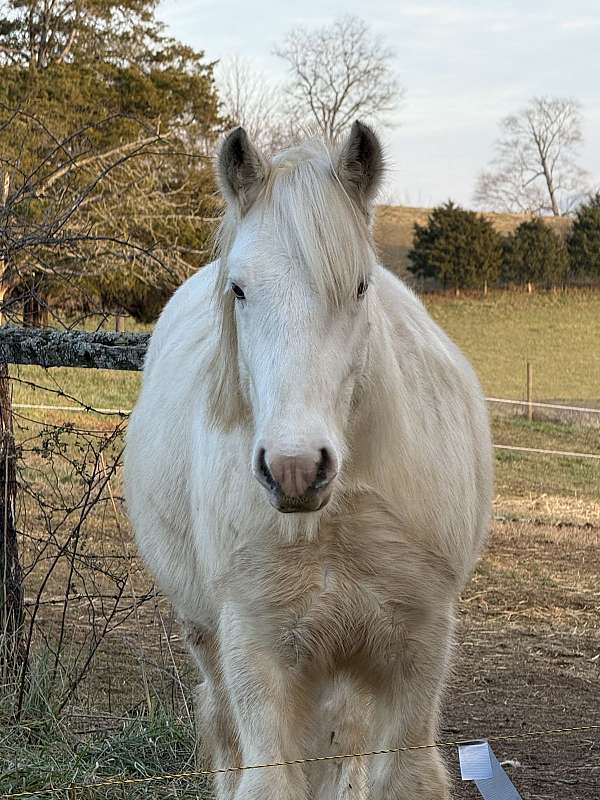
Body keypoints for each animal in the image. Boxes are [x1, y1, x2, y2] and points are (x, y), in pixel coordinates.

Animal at [123, 123, 492, 800]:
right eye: (240, 288)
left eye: (360, 287)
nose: (295, 468)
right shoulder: (258, 650)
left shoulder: (416, 647)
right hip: (214, 642)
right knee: (226, 735)